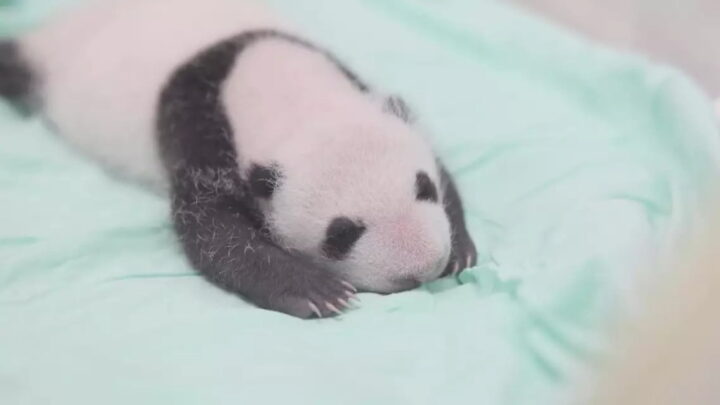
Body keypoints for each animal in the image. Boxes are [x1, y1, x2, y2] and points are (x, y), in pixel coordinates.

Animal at [0, 0, 477, 318]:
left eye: (423, 188)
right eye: (341, 233)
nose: (422, 266)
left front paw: (461, 251)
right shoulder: (198, 128)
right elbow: (211, 228)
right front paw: (318, 291)